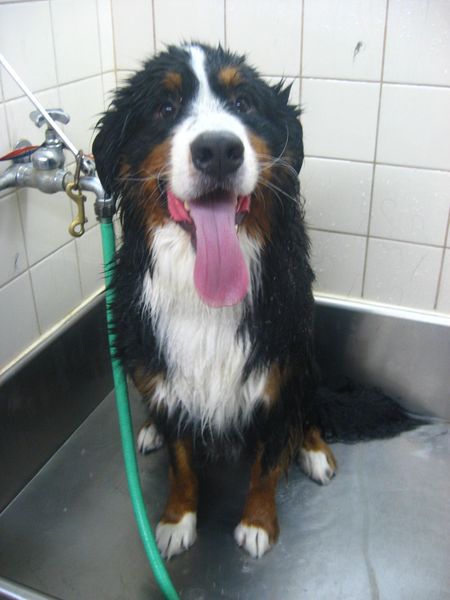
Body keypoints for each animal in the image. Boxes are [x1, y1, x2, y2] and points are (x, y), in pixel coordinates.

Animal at [92, 44, 338, 560]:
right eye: (165, 108)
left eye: (243, 103)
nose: (219, 150)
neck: (206, 296)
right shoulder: (165, 375)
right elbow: (181, 464)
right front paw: (176, 520)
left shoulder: (276, 372)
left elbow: (266, 463)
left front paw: (258, 523)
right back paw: (148, 429)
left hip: (305, 355)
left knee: (307, 409)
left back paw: (314, 451)